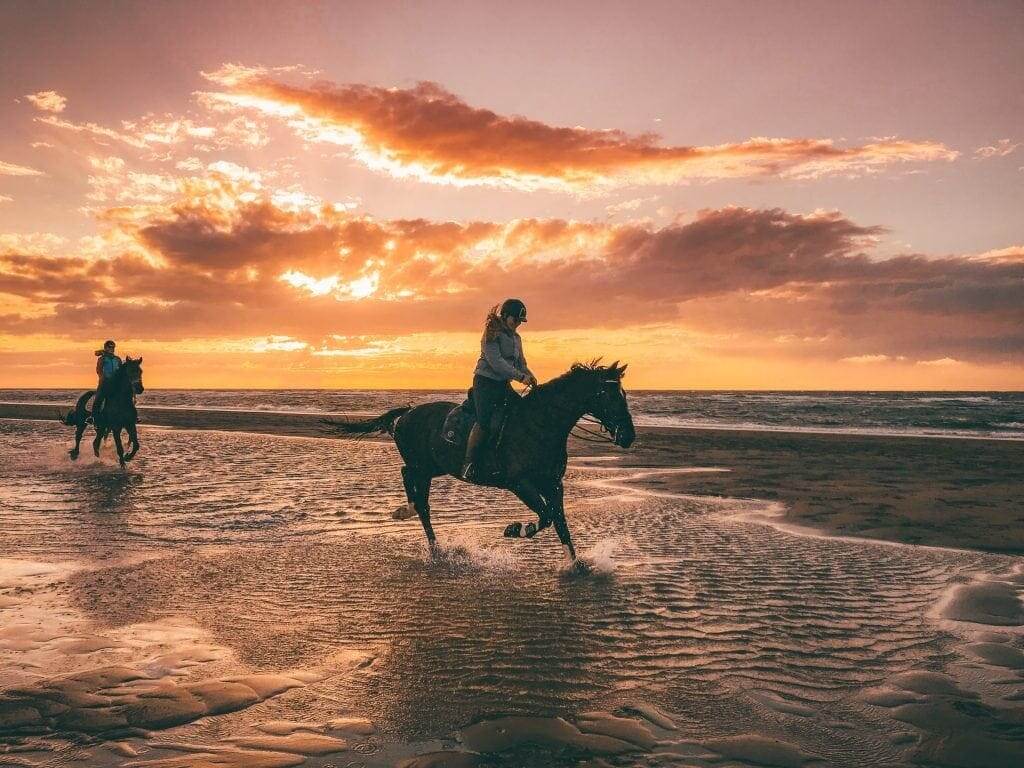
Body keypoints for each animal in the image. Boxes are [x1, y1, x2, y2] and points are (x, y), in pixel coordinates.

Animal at [323, 360, 634, 565]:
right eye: (608, 394)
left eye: (623, 394)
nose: (628, 436)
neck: (540, 424)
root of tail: (407, 414)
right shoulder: (519, 483)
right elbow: (546, 517)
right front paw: (515, 529)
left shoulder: (553, 484)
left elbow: (559, 520)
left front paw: (575, 564)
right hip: (421, 466)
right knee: (411, 484)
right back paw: (409, 515)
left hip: (434, 468)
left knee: (420, 498)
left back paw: (432, 543)